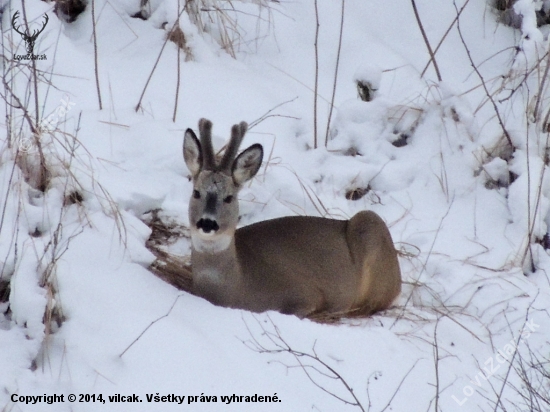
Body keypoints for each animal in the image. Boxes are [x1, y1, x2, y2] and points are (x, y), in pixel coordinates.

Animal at [183, 119, 404, 318]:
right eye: (196, 192)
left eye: (229, 197)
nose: (207, 222)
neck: (239, 285)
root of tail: (398, 281)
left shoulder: (306, 293)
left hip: (370, 222)